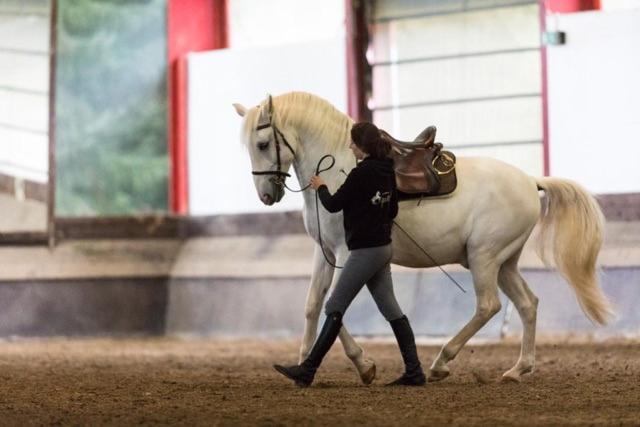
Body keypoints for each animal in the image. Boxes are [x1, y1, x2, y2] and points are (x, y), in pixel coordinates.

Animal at [232, 91, 612, 384]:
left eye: (263, 143)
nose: (266, 195)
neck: (339, 167)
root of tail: (531, 181)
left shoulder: (345, 253)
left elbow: (334, 306)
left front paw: (360, 365)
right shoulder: (323, 252)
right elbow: (314, 305)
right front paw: (307, 364)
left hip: (484, 257)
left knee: (488, 305)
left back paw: (442, 362)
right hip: (504, 263)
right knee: (527, 304)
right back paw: (518, 369)